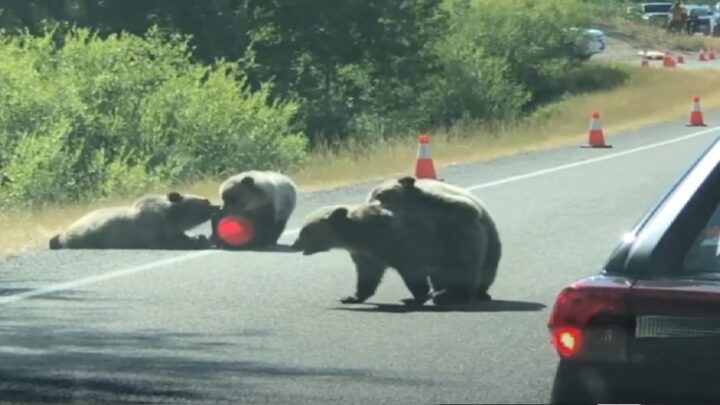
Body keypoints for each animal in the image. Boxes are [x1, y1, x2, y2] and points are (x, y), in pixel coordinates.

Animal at [47, 190, 218, 249]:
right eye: (206, 201)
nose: (217, 206)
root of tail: (63, 233)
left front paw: (200, 238)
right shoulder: (151, 229)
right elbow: (169, 242)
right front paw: (198, 241)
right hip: (87, 236)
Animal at [290, 200, 480, 304]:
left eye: (305, 231)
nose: (294, 245)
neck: (357, 235)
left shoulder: (393, 242)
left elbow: (411, 270)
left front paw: (416, 297)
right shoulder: (365, 254)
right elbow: (368, 276)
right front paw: (351, 296)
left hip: (454, 244)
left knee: (460, 270)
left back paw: (449, 294)